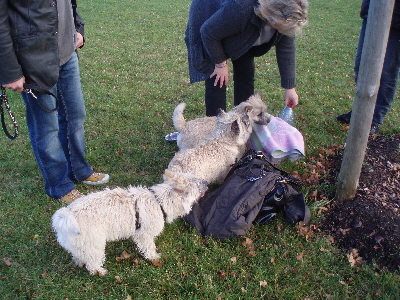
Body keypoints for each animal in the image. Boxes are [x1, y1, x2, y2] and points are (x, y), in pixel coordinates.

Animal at [51, 170, 208, 276]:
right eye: (196, 184)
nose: (206, 183)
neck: (159, 201)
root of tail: (68, 215)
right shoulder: (144, 235)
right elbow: (149, 247)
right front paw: (153, 257)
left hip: (80, 245)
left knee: (78, 255)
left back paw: (79, 262)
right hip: (94, 245)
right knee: (92, 264)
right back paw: (100, 271)